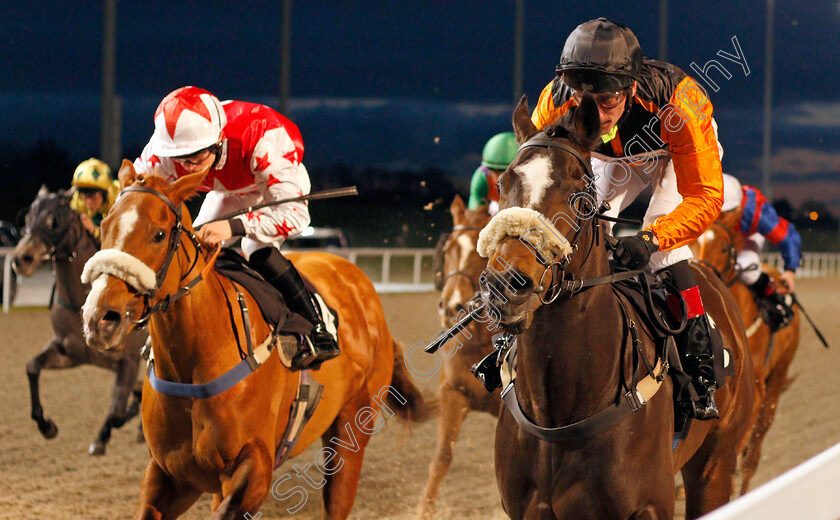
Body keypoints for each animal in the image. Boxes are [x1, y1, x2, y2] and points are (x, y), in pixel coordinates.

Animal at [12, 187, 146, 456]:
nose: (22, 259)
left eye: (54, 221)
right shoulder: (70, 352)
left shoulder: (129, 360)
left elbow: (117, 413)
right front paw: (47, 426)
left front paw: (101, 439)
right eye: (28, 216)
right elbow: (32, 367)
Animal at [81, 161, 426, 516]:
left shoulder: (255, 467)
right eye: (104, 225)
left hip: (351, 429)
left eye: (158, 234)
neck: (193, 363)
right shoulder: (172, 474)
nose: (100, 318)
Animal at [416, 194, 498, 516]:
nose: (452, 304)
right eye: (449, 248)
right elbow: (441, 459)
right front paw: (424, 511)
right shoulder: (452, 393)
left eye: (484, 251)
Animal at [480, 95, 756, 516]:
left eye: (578, 196)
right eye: (503, 182)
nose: (505, 285)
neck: (558, 409)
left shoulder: (650, 506)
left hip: (715, 465)